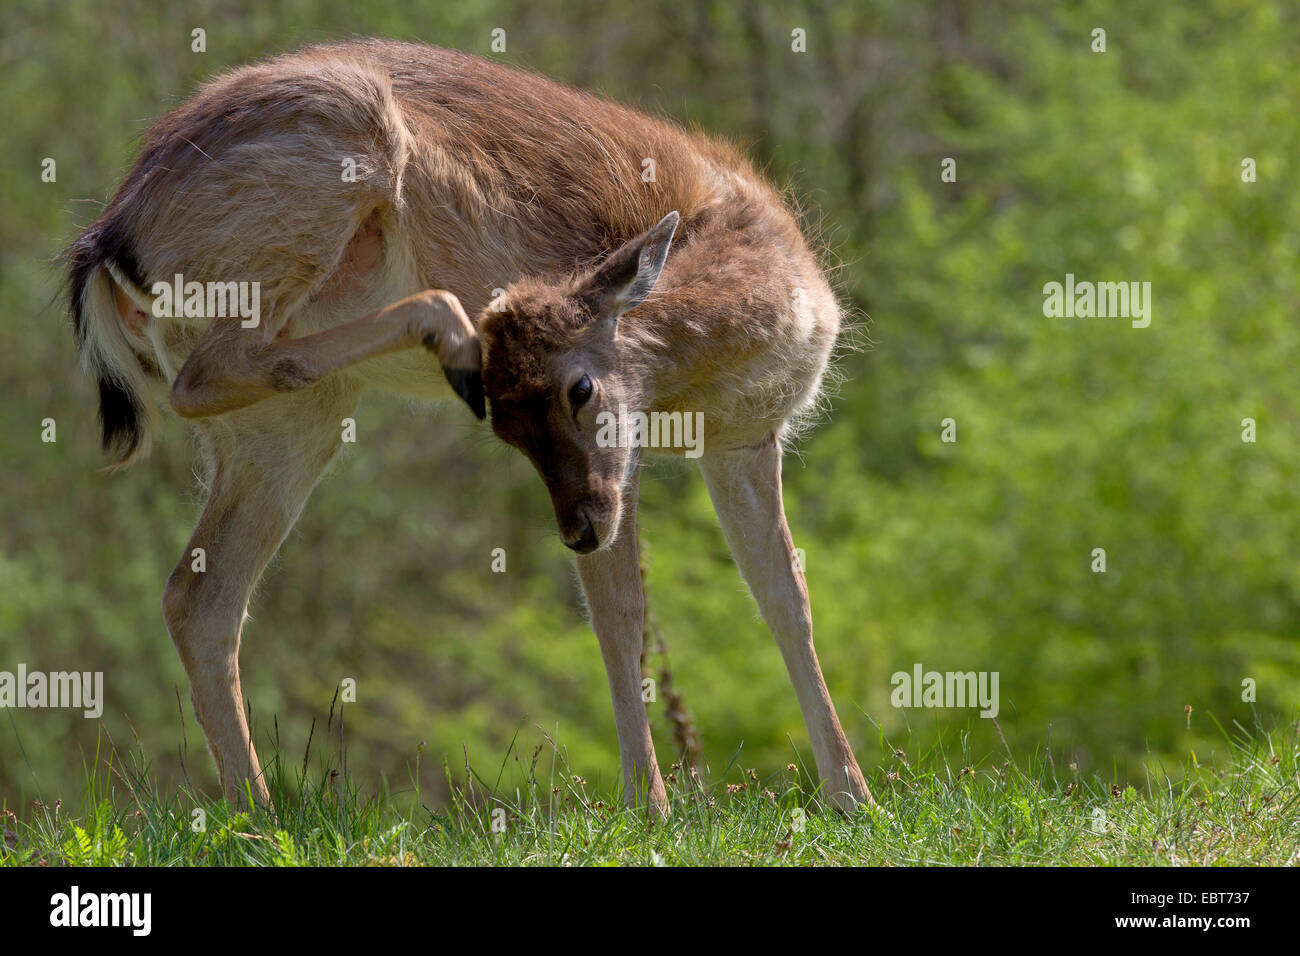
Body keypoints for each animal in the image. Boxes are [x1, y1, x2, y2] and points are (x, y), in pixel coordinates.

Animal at [63, 37, 873, 816]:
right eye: (508, 429)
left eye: (579, 389)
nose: (577, 530)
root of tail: (107, 244)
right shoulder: (637, 460)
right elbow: (620, 613)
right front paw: (650, 807)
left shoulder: (744, 438)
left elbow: (787, 596)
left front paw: (853, 798)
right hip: (314, 197)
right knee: (206, 377)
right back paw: (446, 330)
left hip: (283, 427)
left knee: (199, 594)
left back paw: (256, 814)